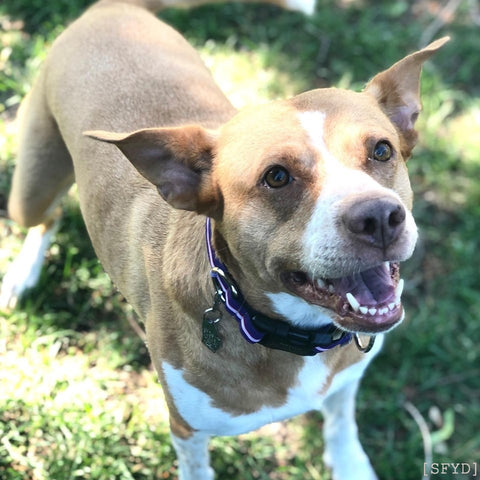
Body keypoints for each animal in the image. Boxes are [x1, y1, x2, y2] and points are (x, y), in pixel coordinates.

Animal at [0, 0, 450, 476]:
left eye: (382, 150)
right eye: (276, 176)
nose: (379, 217)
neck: (291, 334)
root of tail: (110, 8)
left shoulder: (346, 378)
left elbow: (342, 422)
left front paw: (349, 463)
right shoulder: (187, 430)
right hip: (32, 187)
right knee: (45, 216)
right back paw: (22, 274)